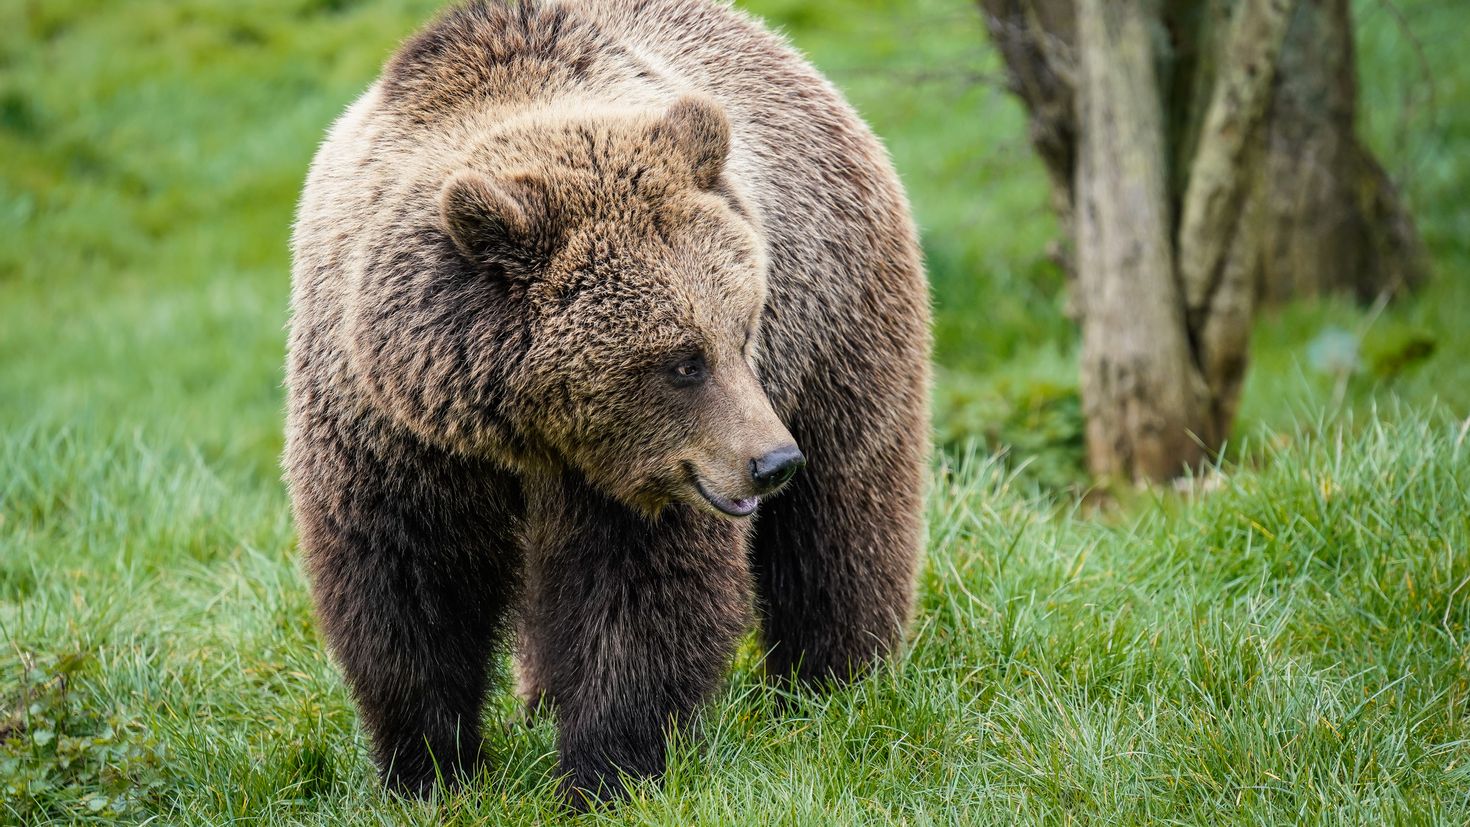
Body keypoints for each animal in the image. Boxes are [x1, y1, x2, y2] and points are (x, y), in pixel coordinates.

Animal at [286, 0, 929, 810]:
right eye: (683, 362)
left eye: (743, 329)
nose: (772, 462)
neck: (519, 427)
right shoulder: (390, 434)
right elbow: (405, 587)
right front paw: (429, 770)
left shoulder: (650, 474)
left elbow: (639, 595)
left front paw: (607, 772)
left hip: (836, 320)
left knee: (845, 514)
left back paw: (837, 680)